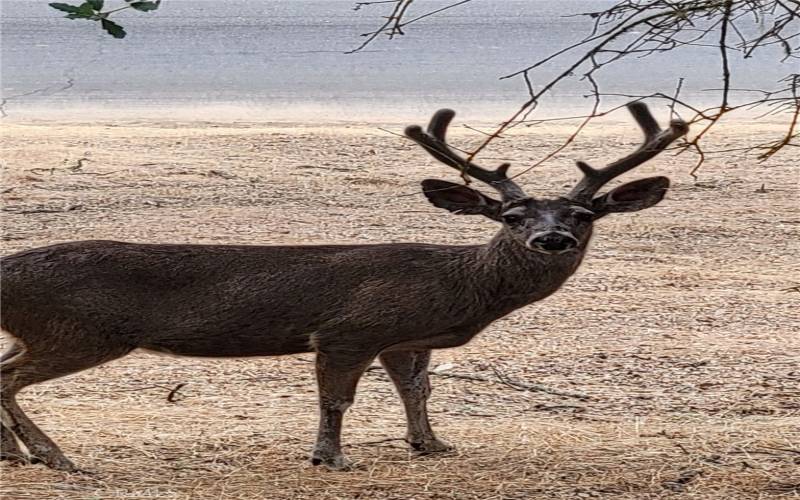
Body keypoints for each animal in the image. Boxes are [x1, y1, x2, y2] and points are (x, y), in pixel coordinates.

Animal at [0, 102, 688, 472]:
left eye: (583, 214)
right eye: (512, 217)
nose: (552, 239)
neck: (459, 286)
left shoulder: (407, 338)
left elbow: (418, 390)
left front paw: (430, 444)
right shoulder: (348, 330)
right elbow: (337, 400)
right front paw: (329, 457)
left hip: (45, 331)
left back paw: (18, 454)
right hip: (81, 329)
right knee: (9, 378)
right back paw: (52, 455)